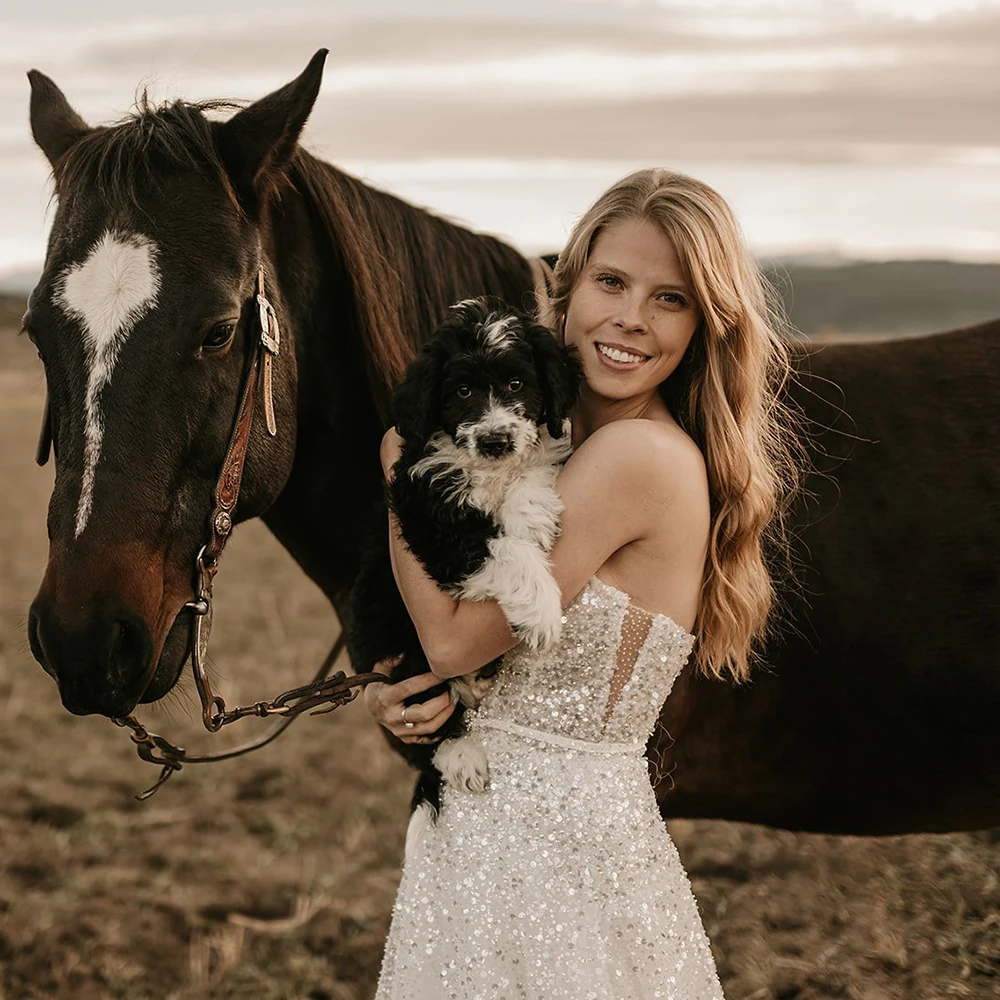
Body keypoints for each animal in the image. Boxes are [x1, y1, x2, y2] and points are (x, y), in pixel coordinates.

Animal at [350, 296, 580, 852]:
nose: (495, 440)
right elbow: (498, 548)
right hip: (397, 646)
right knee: (428, 719)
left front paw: (530, 515)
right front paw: (540, 614)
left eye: (517, 384)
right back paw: (463, 755)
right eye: (462, 392)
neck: (489, 473)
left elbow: (533, 474)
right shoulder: (431, 519)